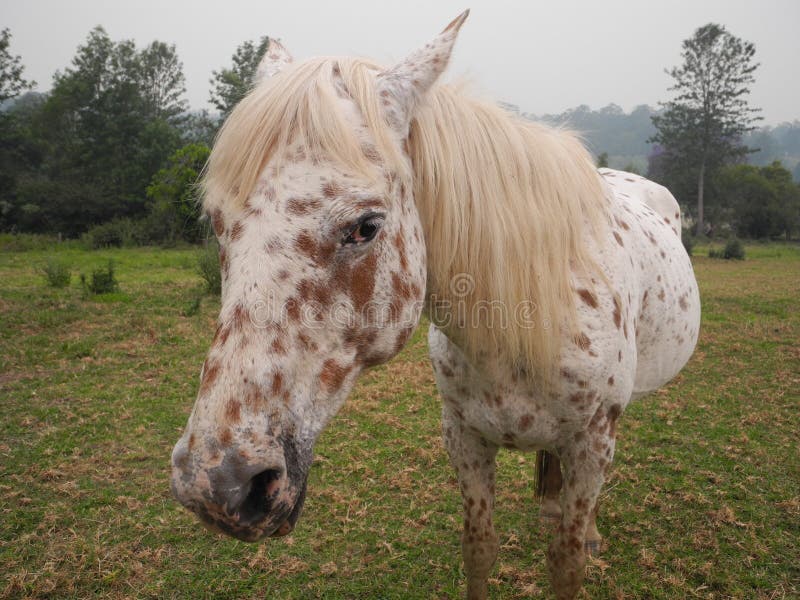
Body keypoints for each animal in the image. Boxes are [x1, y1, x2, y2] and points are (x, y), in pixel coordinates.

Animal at [170, 11, 700, 599]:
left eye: (366, 226)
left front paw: (578, 538)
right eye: (217, 223)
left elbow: (565, 563)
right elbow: (479, 548)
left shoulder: (590, 443)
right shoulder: (463, 438)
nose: (219, 484)